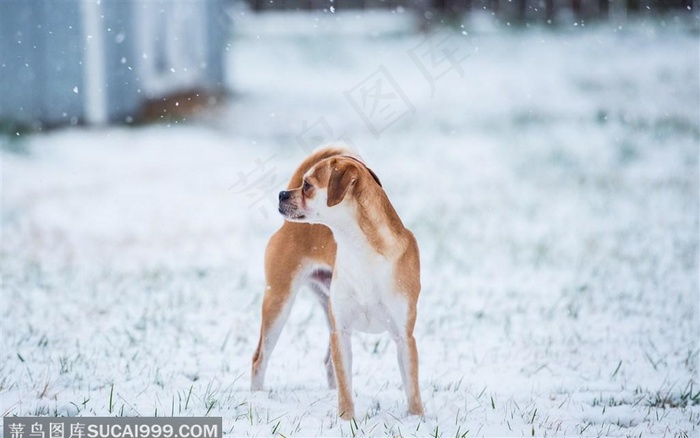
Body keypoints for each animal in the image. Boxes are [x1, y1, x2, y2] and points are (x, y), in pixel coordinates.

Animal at [253, 145, 424, 420]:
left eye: (308, 186)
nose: (281, 194)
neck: (362, 251)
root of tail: (286, 227)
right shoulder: (341, 332)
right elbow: (345, 386)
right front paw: (347, 420)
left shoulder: (403, 337)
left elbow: (412, 387)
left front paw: (417, 419)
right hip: (278, 301)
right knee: (259, 358)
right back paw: (256, 397)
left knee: (327, 363)